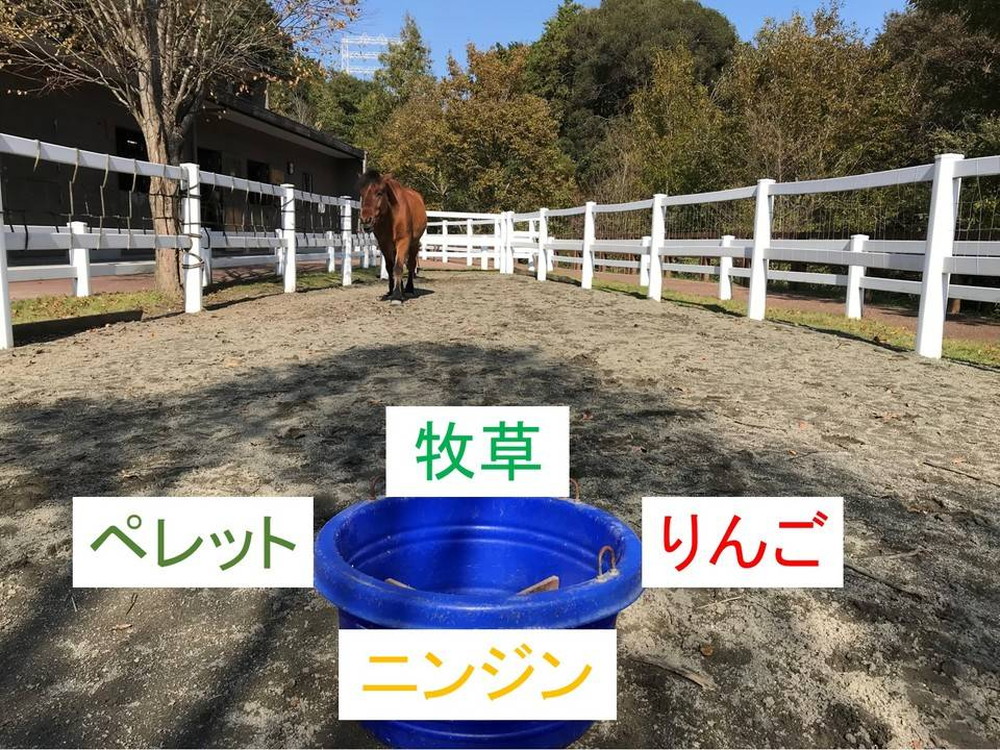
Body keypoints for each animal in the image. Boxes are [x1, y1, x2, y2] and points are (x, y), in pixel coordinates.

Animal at [358, 170, 428, 304]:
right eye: (362, 194)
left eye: (379, 193)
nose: (365, 220)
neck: (391, 216)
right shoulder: (384, 244)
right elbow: (390, 267)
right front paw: (392, 291)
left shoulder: (403, 241)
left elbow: (399, 267)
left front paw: (396, 296)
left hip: (414, 244)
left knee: (411, 264)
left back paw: (409, 289)